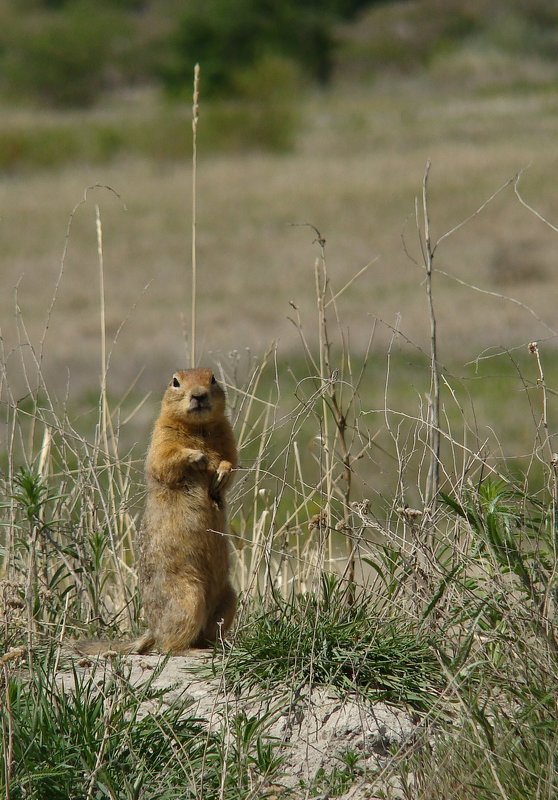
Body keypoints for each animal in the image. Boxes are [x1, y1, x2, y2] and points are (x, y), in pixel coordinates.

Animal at [76, 368, 238, 656]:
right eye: (175, 381)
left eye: (213, 378)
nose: (199, 395)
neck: (199, 428)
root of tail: (151, 630)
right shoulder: (161, 435)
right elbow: (164, 459)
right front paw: (197, 457)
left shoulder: (228, 436)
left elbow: (233, 460)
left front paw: (222, 471)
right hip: (188, 596)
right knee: (168, 646)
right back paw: (194, 650)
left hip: (230, 597)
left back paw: (215, 646)